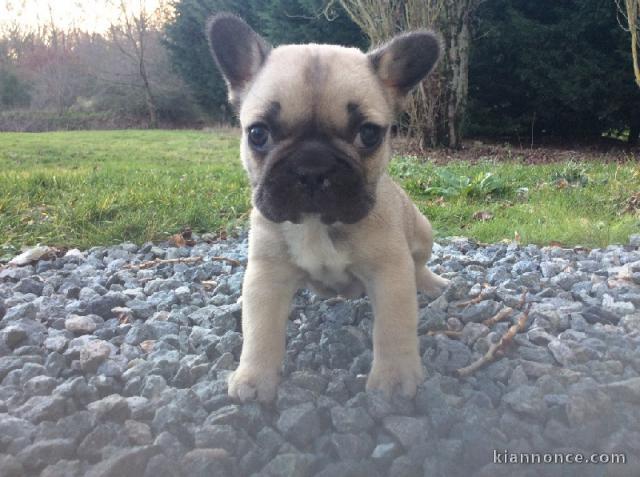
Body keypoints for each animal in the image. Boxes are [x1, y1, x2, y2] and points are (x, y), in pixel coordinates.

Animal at [208, 13, 448, 402]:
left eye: (369, 134)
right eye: (258, 134)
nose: (312, 166)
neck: (316, 224)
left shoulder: (390, 274)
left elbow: (394, 326)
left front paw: (394, 377)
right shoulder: (266, 274)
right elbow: (261, 330)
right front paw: (254, 378)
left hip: (423, 230)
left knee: (419, 264)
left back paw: (431, 283)